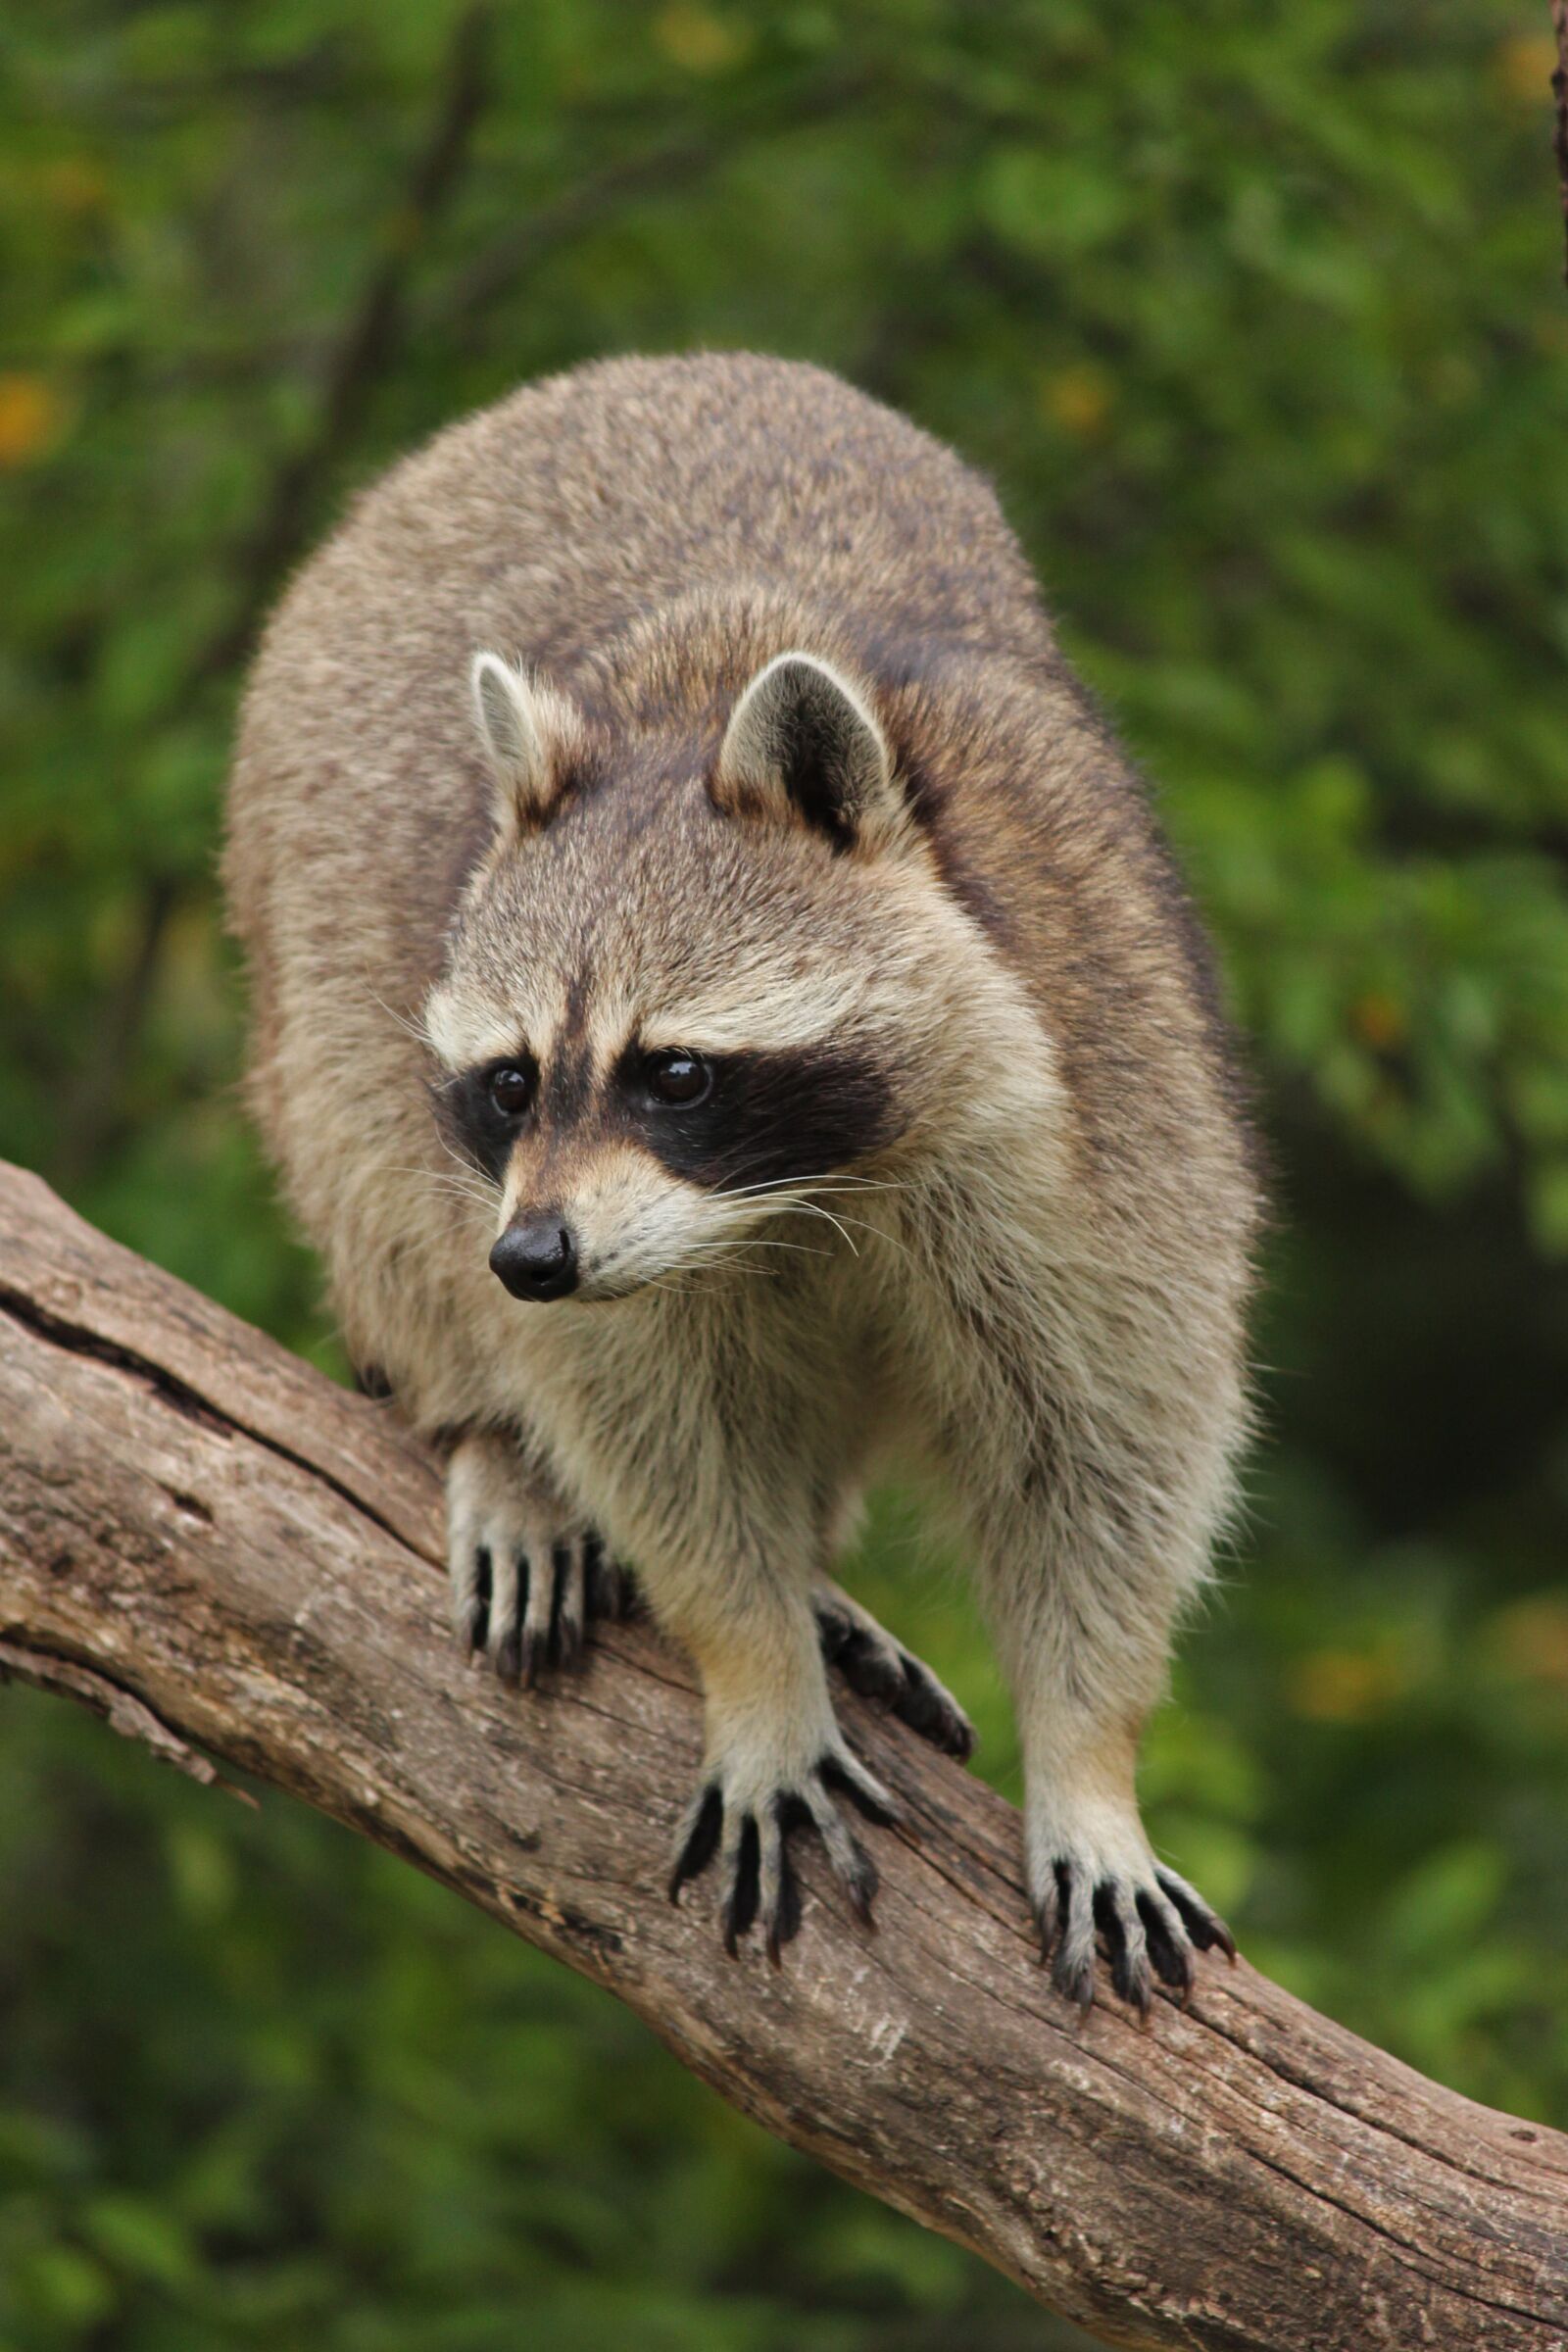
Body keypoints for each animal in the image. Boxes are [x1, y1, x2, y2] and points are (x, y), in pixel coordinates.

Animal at [226, 357, 1259, 2013]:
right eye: (513, 1081)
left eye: (675, 1073)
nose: (532, 1260)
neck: (791, 1195)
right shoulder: (552, 1220)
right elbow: (653, 1436)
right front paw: (753, 1660)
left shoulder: (1109, 1107)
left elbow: (1107, 1450)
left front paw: (1093, 1761)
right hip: (308, 948)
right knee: (375, 1181)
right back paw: (497, 1441)